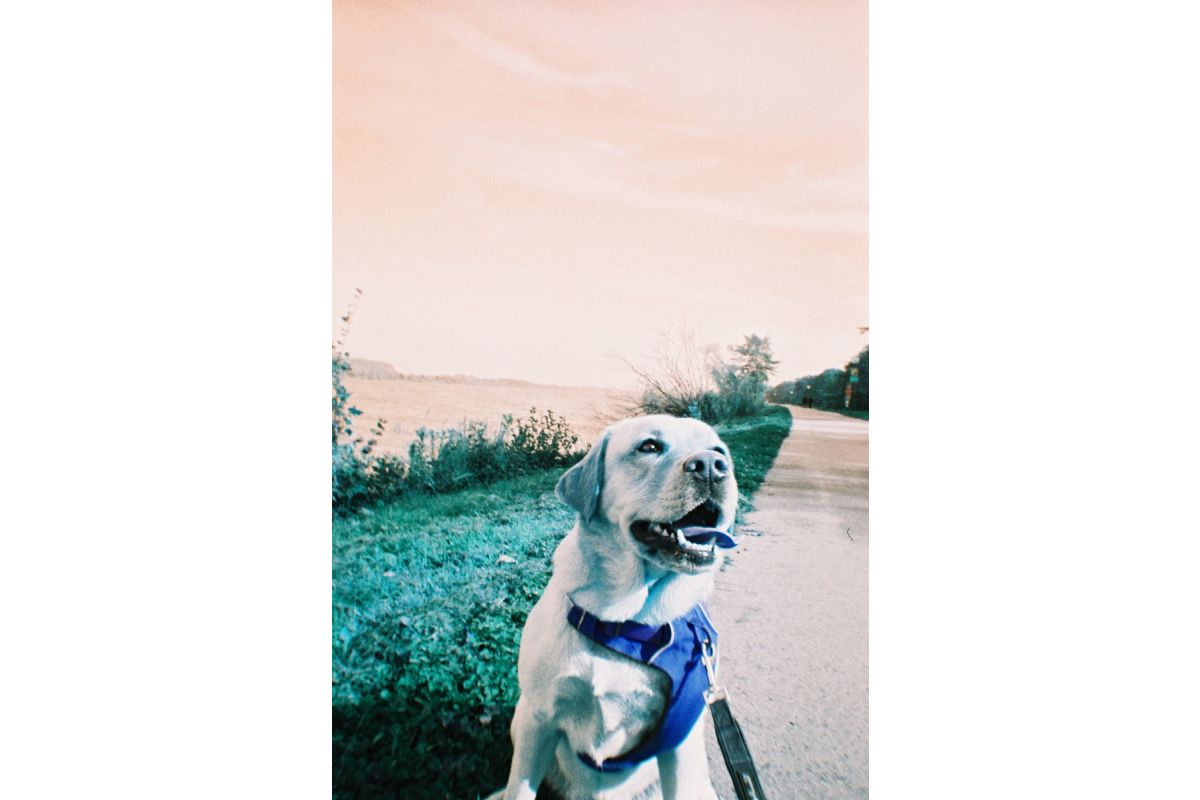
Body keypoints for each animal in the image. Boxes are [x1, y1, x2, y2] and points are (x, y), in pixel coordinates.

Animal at [490, 415, 739, 800]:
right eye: (649, 446)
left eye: (719, 451)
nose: (712, 466)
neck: (626, 622)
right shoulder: (538, 717)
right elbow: (520, 789)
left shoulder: (680, 742)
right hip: (520, 720)